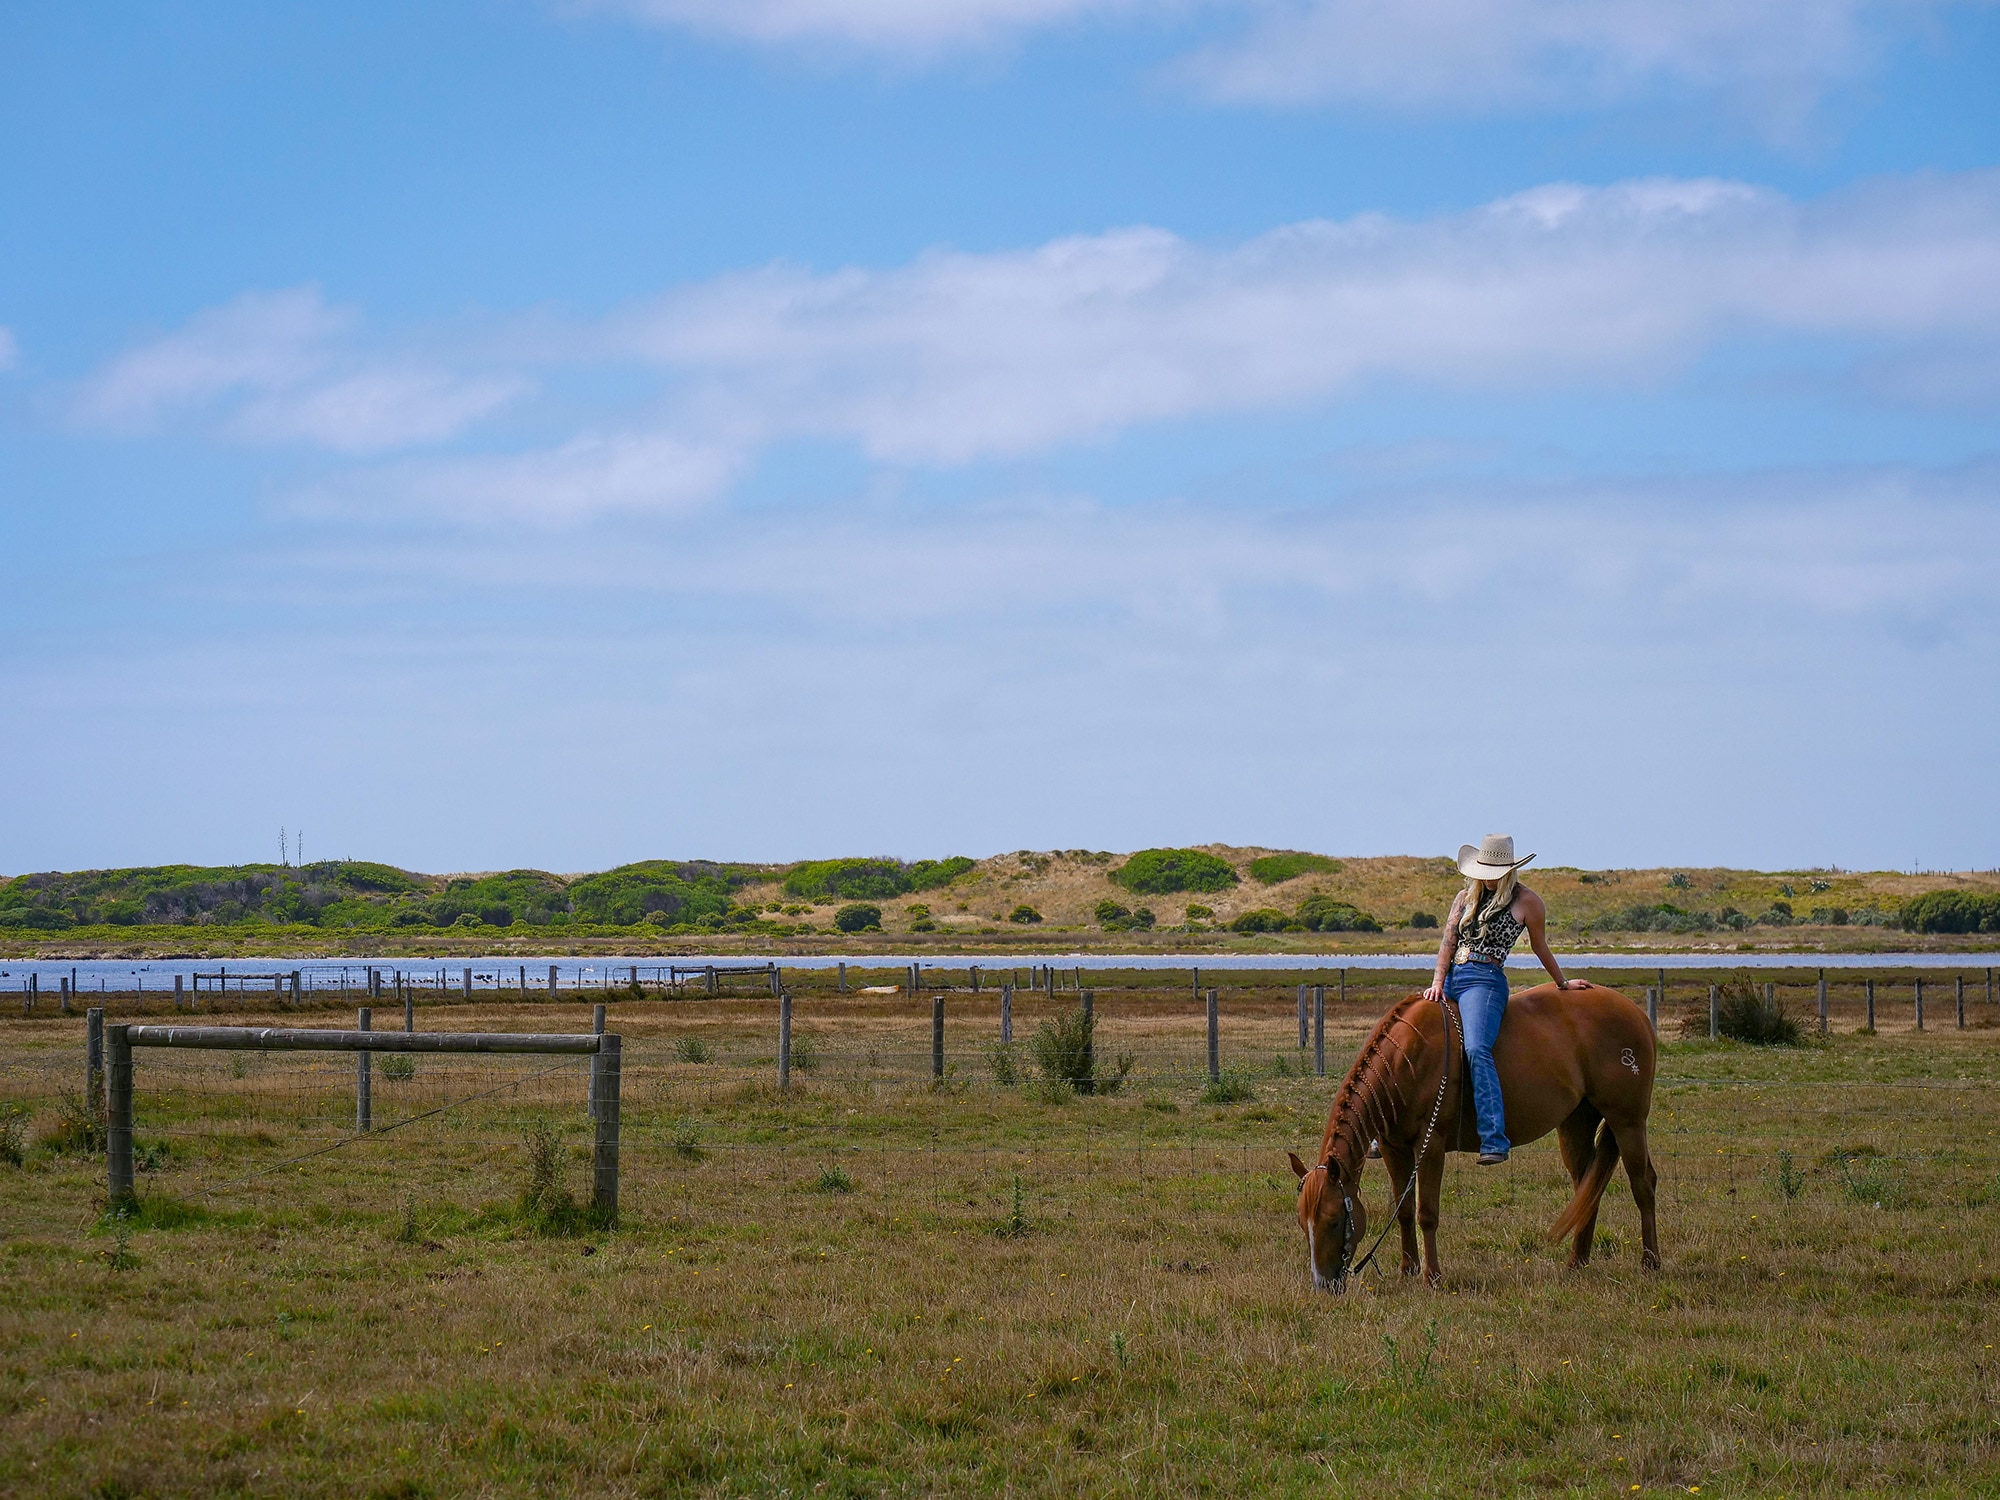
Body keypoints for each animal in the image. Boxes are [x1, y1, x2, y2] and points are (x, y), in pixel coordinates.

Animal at [1288, 981, 1659, 1291]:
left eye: (1334, 1221)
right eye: (1303, 1222)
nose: (1323, 1284)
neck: (1405, 1060)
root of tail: (1636, 1013)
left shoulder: (1431, 1146)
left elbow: (1426, 1213)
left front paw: (1432, 1277)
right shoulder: (1395, 1148)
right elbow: (1404, 1210)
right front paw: (1408, 1271)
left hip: (1628, 1121)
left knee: (1643, 1183)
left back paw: (1650, 1263)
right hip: (1575, 1121)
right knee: (1586, 1187)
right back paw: (1576, 1261)